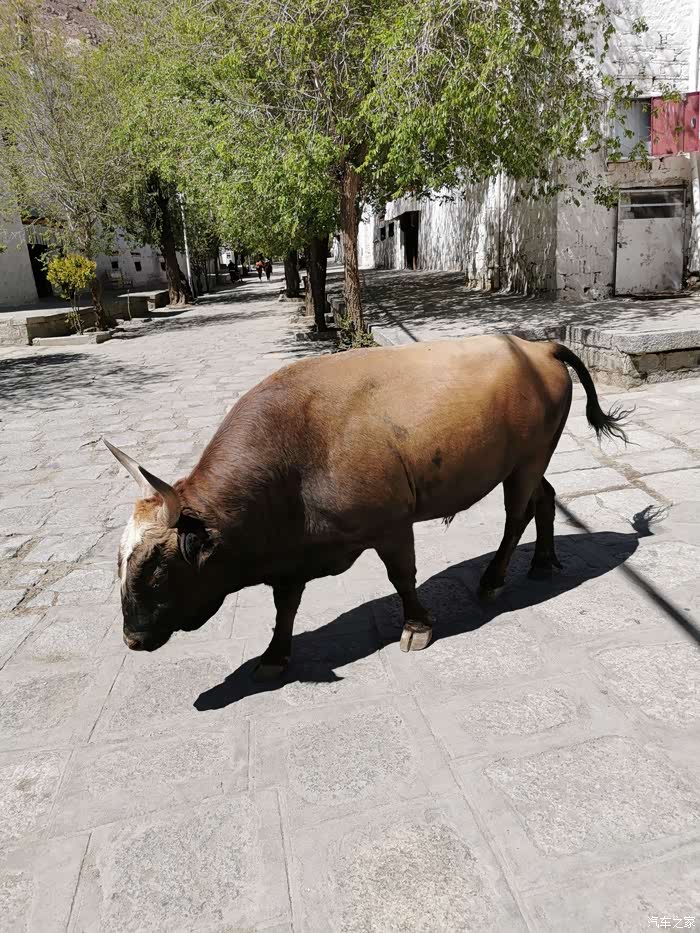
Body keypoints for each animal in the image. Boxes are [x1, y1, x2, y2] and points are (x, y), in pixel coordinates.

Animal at [105, 335, 629, 680]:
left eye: (156, 566)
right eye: (120, 562)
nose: (131, 640)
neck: (292, 455)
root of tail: (538, 345)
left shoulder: (392, 526)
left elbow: (403, 578)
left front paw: (417, 626)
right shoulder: (293, 555)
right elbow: (285, 605)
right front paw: (275, 654)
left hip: (526, 461)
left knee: (516, 516)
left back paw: (494, 579)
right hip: (526, 462)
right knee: (546, 498)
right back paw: (543, 563)